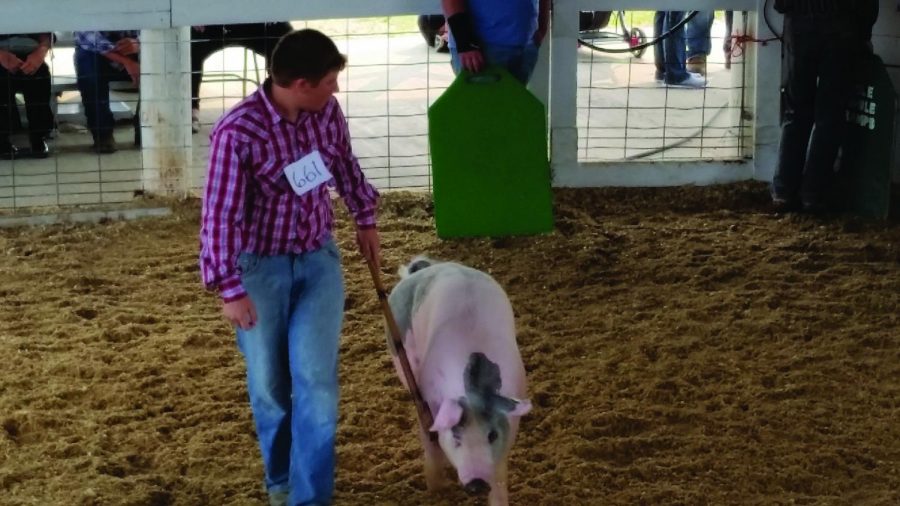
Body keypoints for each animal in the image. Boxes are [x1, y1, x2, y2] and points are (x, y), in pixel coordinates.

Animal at [384, 256, 528, 506]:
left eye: (492, 435)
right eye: (456, 435)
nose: (477, 483)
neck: (473, 391)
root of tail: (427, 269)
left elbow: (500, 471)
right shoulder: (427, 400)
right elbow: (430, 441)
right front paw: (436, 490)